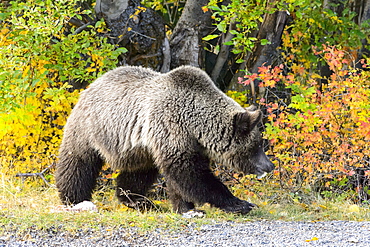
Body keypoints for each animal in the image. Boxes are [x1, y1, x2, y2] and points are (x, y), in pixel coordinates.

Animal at [55, 65, 274, 214]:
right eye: (257, 145)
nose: (269, 165)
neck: (194, 124)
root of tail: (91, 85)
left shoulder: (183, 142)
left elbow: (181, 177)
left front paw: (187, 208)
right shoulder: (171, 128)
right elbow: (191, 175)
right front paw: (240, 203)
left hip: (139, 149)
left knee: (138, 173)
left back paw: (138, 200)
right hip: (90, 129)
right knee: (78, 163)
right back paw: (74, 199)